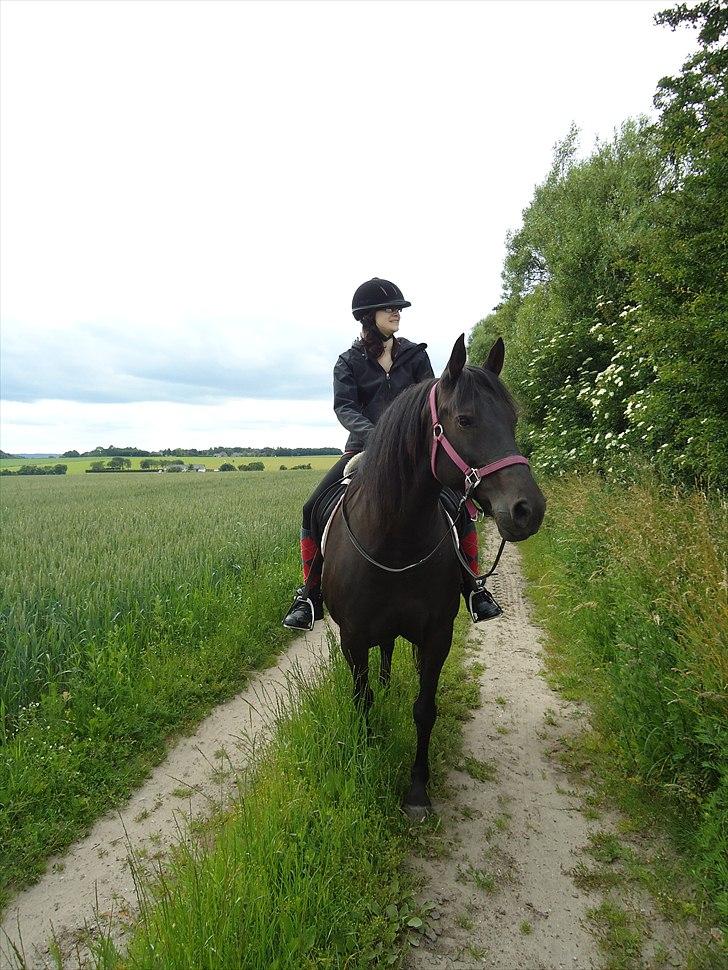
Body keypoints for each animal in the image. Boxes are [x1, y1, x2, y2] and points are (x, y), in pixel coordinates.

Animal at [324, 334, 544, 816]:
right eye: (464, 420)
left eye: (513, 419)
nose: (528, 510)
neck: (394, 538)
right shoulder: (353, 637)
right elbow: (362, 701)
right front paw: (366, 757)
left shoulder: (437, 635)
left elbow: (425, 708)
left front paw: (417, 791)